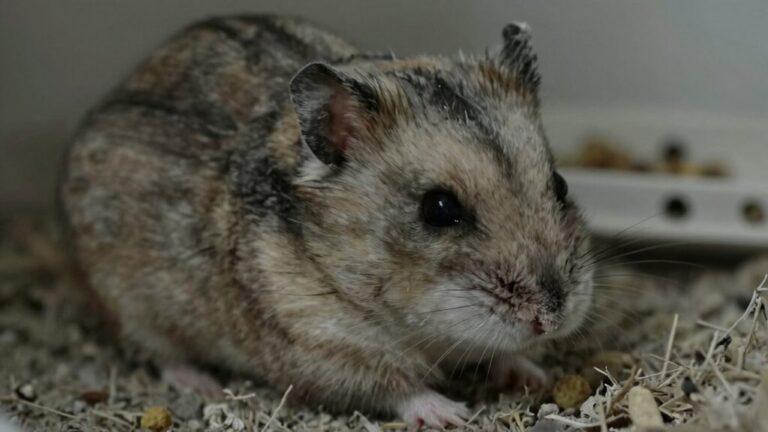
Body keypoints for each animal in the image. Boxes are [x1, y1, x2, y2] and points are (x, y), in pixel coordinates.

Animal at [60, 15, 593, 427]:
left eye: (560, 184)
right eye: (439, 209)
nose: (551, 319)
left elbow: (501, 351)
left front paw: (534, 375)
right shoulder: (323, 347)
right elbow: (395, 386)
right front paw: (452, 414)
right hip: (128, 305)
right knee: (158, 354)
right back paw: (202, 384)